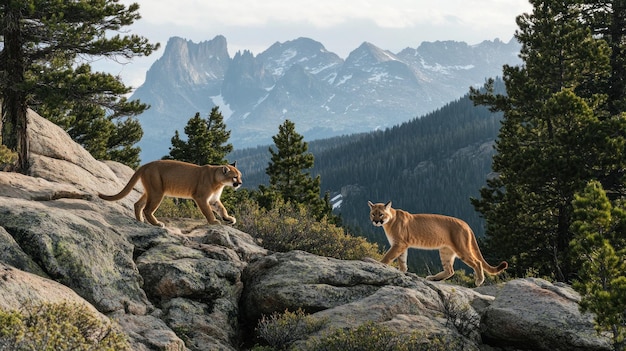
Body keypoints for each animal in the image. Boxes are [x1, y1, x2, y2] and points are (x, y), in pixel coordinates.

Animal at [98, 160, 243, 227]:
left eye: (240, 176)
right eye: (234, 177)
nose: (240, 183)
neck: (218, 181)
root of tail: (146, 164)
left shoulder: (213, 200)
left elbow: (222, 209)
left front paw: (228, 219)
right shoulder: (201, 198)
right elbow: (208, 211)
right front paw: (213, 221)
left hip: (151, 191)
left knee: (137, 204)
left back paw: (140, 221)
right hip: (157, 192)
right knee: (147, 209)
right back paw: (156, 224)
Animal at [366, 202, 508, 288]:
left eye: (381, 214)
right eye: (373, 214)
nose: (376, 221)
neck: (389, 221)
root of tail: (465, 224)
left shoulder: (399, 244)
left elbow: (388, 256)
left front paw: (379, 264)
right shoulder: (402, 245)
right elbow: (402, 260)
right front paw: (403, 272)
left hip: (461, 248)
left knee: (477, 262)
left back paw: (479, 281)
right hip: (446, 251)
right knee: (450, 270)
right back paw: (433, 278)